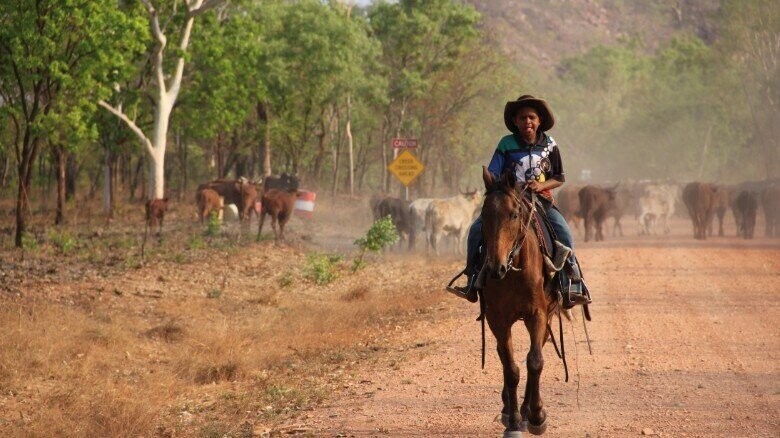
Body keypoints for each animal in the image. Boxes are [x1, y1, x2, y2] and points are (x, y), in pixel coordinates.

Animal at [482, 166, 560, 436]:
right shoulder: (497, 319)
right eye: (483, 215)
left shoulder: (538, 314)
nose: (495, 267)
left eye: (514, 214)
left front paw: (536, 415)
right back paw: (510, 410)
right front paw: (514, 421)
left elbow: (534, 362)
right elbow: (511, 368)